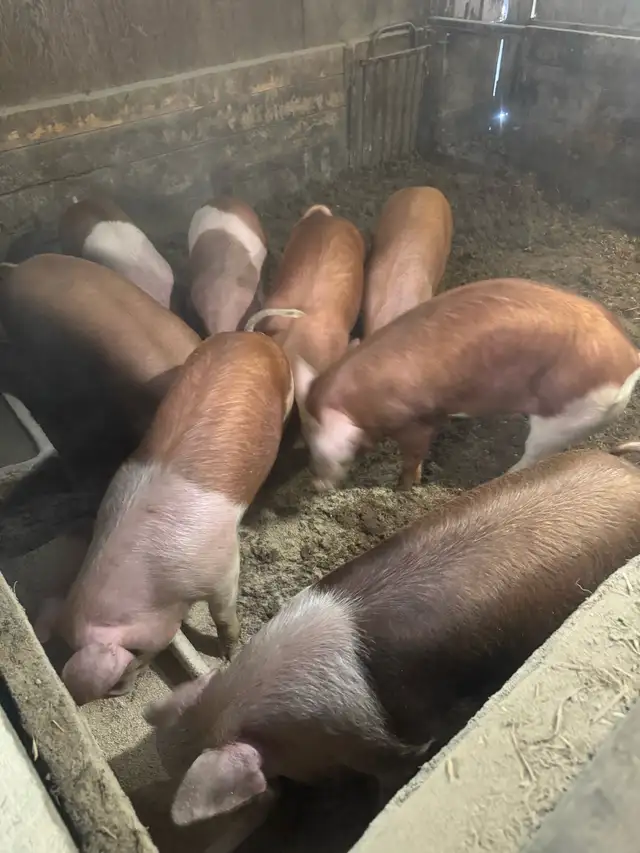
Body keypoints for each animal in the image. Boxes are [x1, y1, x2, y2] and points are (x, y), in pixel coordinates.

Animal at [35, 331, 294, 705]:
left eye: (135, 653)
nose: (117, 693)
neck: (159, 588)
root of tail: (252, 336)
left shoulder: (222, 566)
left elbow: (224, 614)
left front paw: (230, 654)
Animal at [295, 277, 640, 490]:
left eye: (323, 451)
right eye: (306, 441)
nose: (315, 484)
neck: (358, 402)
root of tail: (630, 358)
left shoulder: (416, 422)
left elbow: (414, 455)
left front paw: (403, 485)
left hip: (564, 418)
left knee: (533, 456)